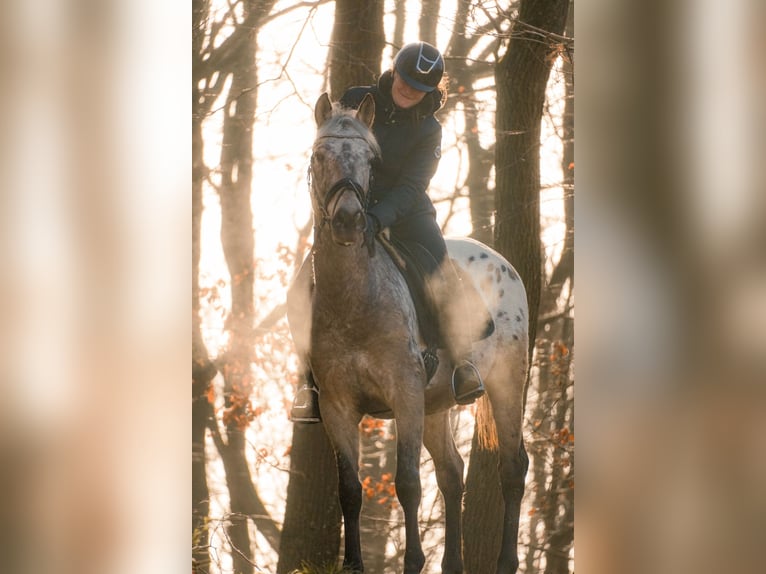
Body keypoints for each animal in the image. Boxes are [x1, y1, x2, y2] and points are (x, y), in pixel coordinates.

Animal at [288, 92, 536, 572]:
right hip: (437, 403)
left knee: (512, 468)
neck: (354, 300)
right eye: (318, 155)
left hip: (505, 384)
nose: (349, 220)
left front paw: (413, 561)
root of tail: (502, 261)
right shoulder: (337, 406)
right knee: (452, 474)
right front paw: (353, 565)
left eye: (370, 159)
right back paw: (453, 564)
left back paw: (505, 562)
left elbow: (406, 483)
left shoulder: (404, 395)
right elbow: (350, 489)